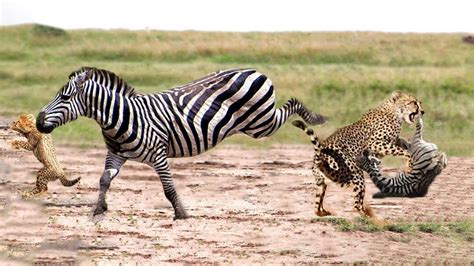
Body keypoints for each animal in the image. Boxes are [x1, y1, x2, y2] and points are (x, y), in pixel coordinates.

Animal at [37, 67, 326, 220]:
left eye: (64, 97)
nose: (39, 122)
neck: (121, 117)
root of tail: (255, 70)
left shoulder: (158, 155)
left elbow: (168, 189)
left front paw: (181, 214)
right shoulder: (116, 154)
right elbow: (104, 180)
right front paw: (99, 208)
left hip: (261, 123)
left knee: (291, 105)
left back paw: (314, 118)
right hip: (259, 123)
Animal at [292, 91, 422, 216]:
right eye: (413, 102)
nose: (422, 111)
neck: (394, 112)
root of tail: (320, 156)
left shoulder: (390, 141)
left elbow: (402, 143)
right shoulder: (374, 143)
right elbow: (404, 151)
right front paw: (409, 165)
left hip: (321, 181)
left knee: (318, 201)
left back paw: (323, 212)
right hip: (356, 173)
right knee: (356, 205)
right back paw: (365, 215)